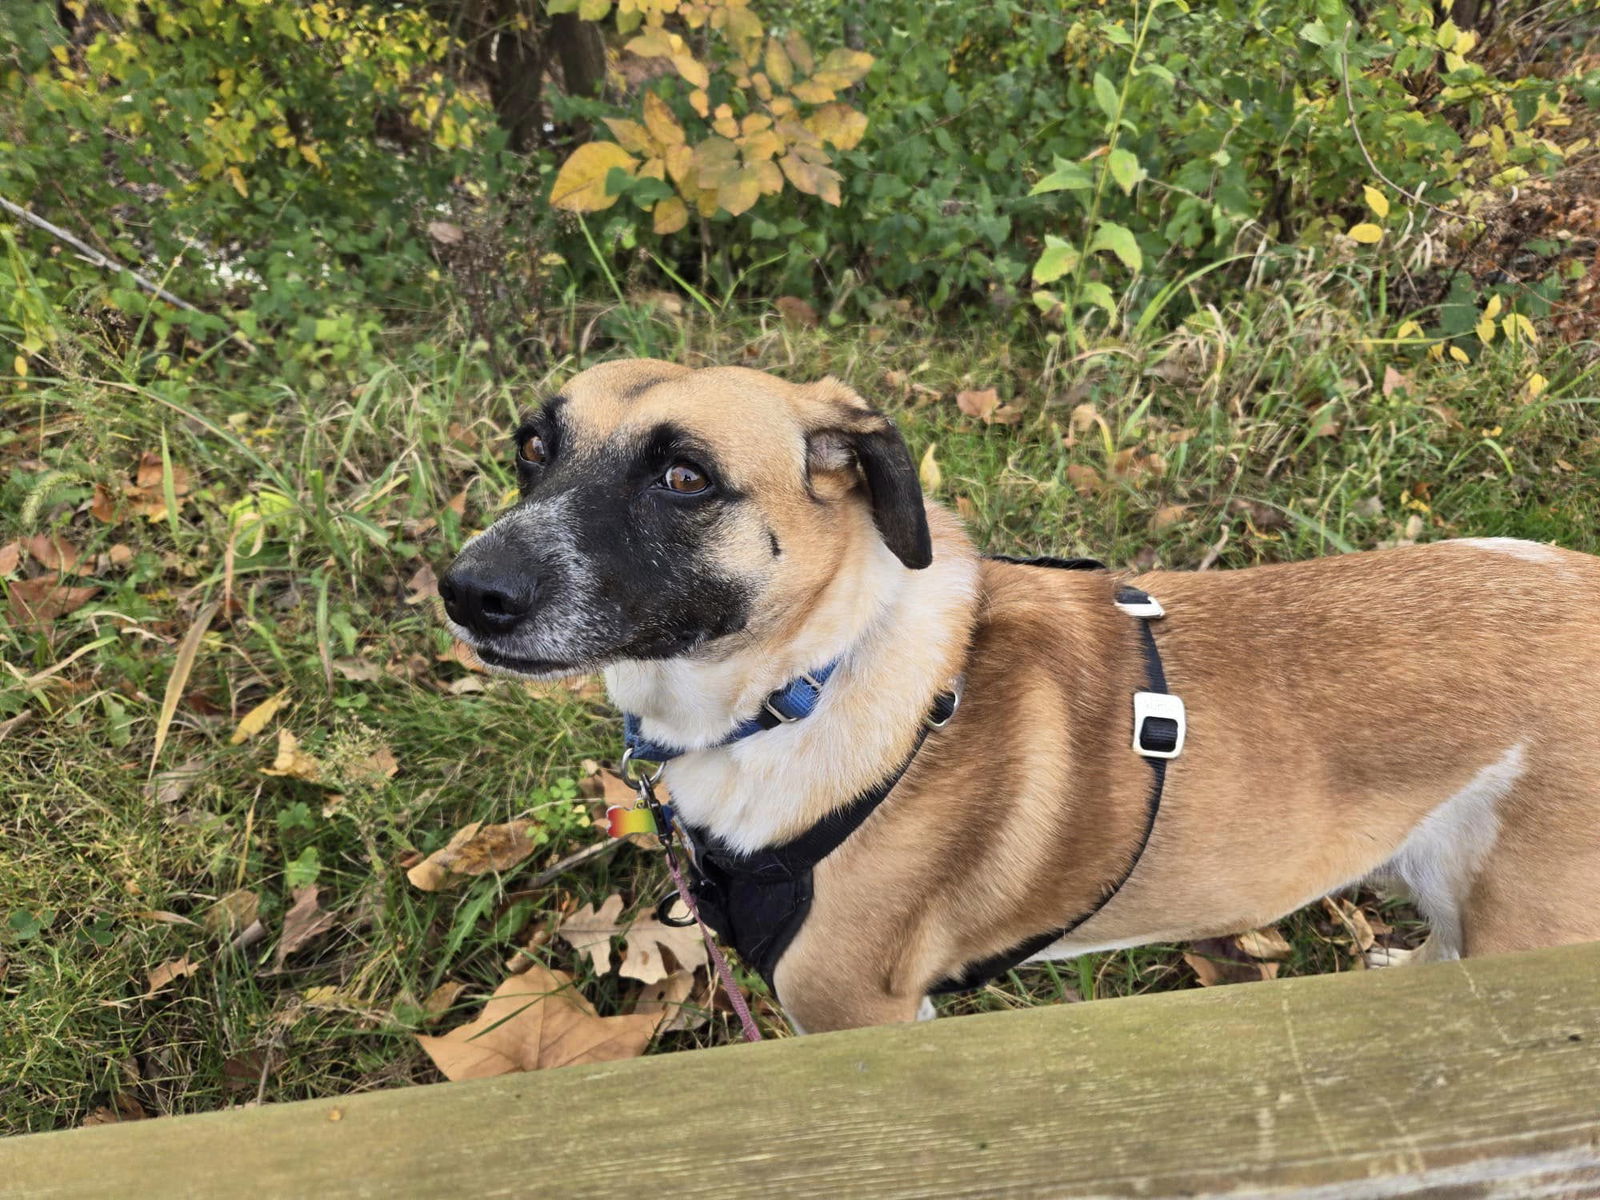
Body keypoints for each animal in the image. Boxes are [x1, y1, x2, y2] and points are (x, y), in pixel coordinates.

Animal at [438, 360, 1600, 1036]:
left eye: (684, 478)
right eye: (532, 449)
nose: (466, 591)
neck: (810, 682)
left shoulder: (853, 1016)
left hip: (1525, 925)